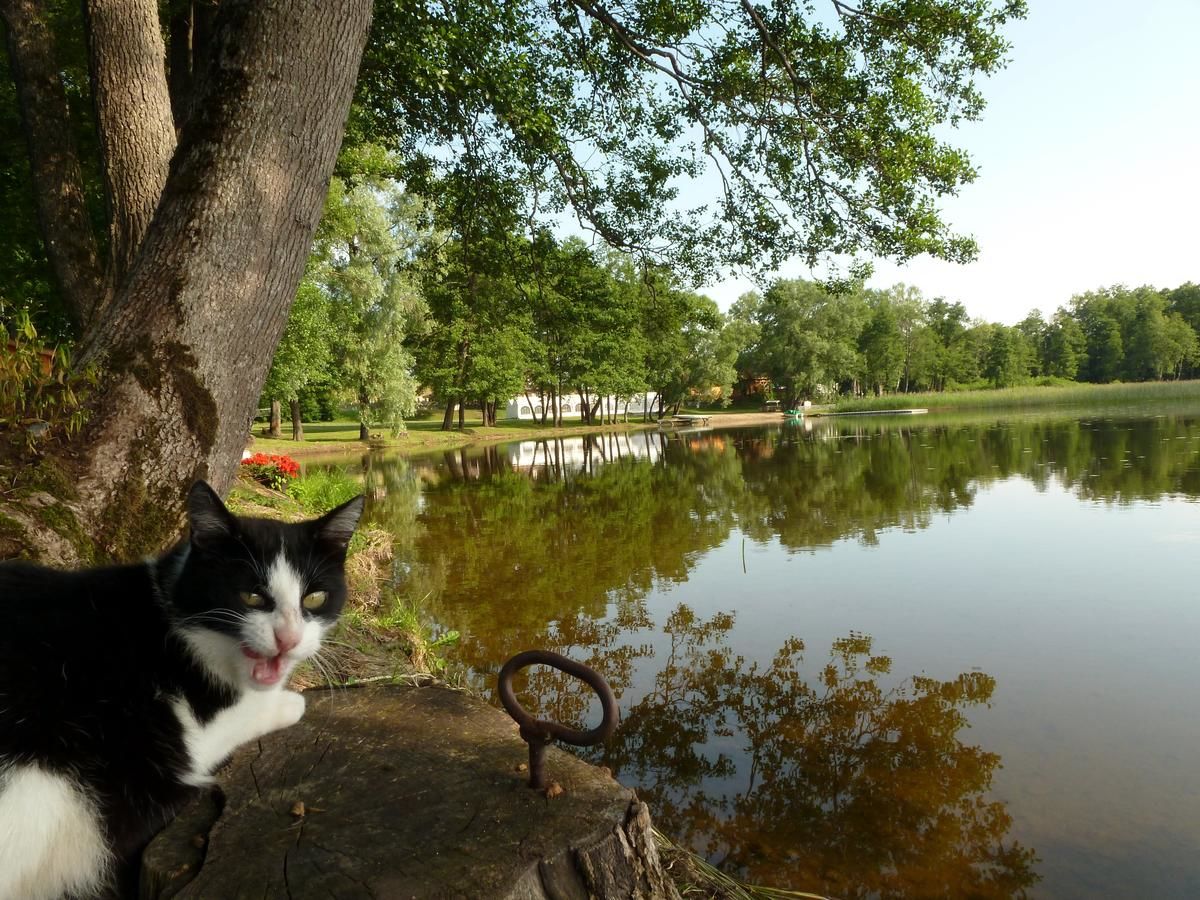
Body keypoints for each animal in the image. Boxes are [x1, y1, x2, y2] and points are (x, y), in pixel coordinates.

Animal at [0, 487, 360, 900]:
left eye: (314, 599)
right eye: (252, 597)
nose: (289, 639)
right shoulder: (192, 738)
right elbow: (243, 715)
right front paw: (291, 701)